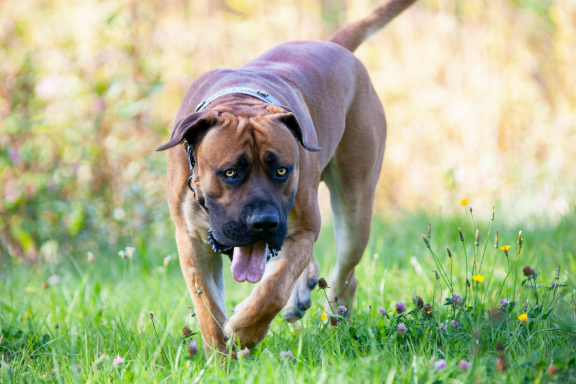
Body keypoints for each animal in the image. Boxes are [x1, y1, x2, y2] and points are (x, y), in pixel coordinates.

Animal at [156, 0, 418, 354]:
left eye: (281, 170)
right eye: (230, 173)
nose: (263, 222)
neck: (240, 101)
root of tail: (333, 46)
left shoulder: (304, 229)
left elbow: (272, 290)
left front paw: (245, 331)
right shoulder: (192, 241)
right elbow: (208, 308)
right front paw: (221, 356)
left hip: (355, 209)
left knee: (345, 276)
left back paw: (337, 321)